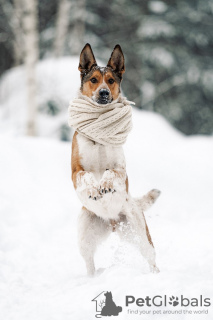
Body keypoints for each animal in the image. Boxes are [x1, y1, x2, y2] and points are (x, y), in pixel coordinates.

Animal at [70, 43, 161, 276]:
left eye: (110, 80)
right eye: (94, 79)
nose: (103, 92)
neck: (98, 139)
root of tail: (111, 222)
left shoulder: (121, 169)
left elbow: (111, 171)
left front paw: (106, 184)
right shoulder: (75, 171)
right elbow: (86, 175)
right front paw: (94, 189)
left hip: (138, 231)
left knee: (151, 257)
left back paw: (156, 275)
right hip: (84, 233)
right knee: (89, 262)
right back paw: (92, 279)